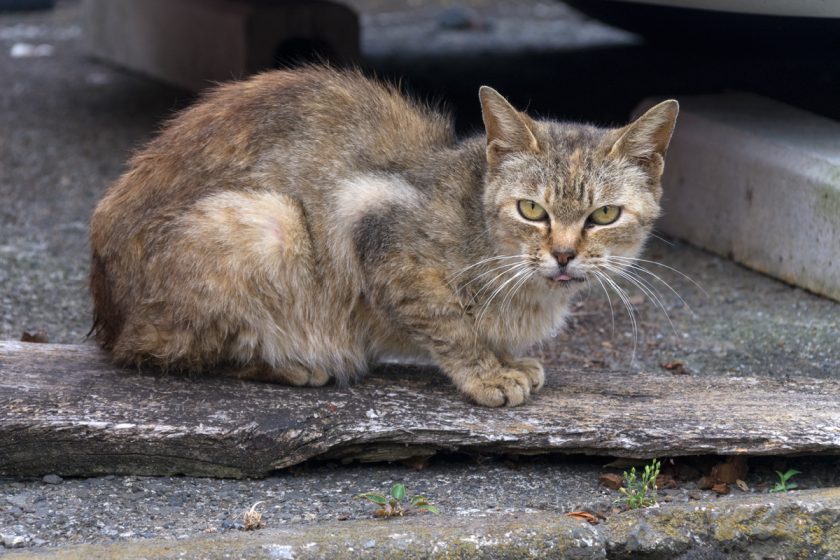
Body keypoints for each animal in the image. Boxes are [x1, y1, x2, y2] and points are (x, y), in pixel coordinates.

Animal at [88, 66, 680, 406]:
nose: (562, 254)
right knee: (170, 354)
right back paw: (300, 365)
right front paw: (487, 373)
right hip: (268, 223)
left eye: (604, 215)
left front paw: (508, 360)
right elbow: (448, 323)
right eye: (531, 209)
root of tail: (108, 317)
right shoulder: (375, 227)